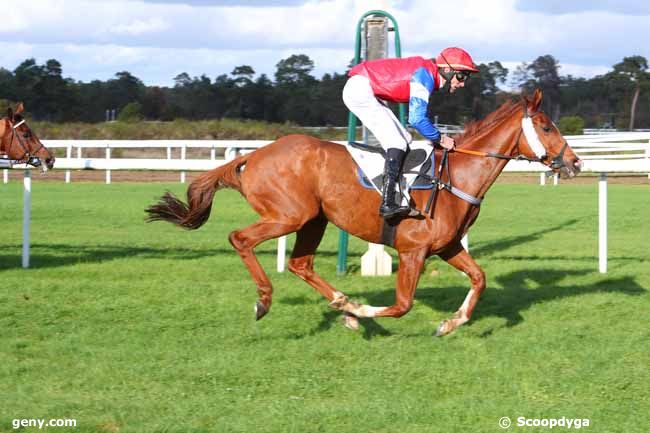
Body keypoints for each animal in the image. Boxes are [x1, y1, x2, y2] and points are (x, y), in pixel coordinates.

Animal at [148, 89, 584, 336]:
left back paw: (340, 303)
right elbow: (403, 304)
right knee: (240, 238)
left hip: (314, 220)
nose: (575, 162)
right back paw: (267, 301)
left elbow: (479, 278)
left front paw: (449, 323)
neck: (454, 176)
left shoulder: (446, 247)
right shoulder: (413, 251)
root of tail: (252, 156)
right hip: (288, 216)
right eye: (546, 126)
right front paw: (360, 311)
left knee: (301, 264)